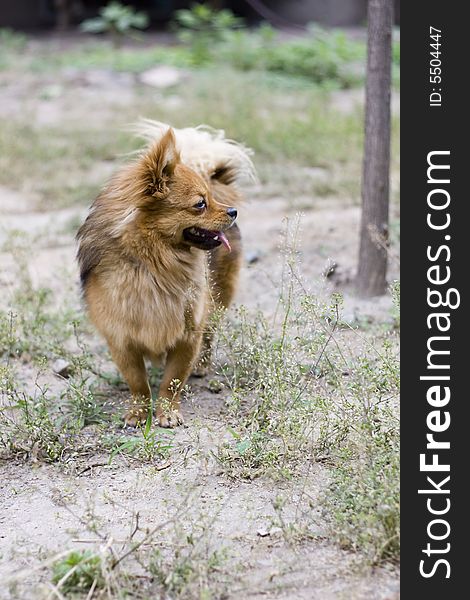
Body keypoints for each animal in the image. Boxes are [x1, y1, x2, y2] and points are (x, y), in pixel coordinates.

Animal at [76, 120, 255, 426]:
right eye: (200, 204)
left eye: (210, 199)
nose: (233, 212)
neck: (152, 265)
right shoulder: (121, 339)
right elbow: (138, 382)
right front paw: (138, 412)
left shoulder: (188, 334)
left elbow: (172, 381)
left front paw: (167, 412)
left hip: (218, 300)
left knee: (210, 334)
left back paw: (202, 366)